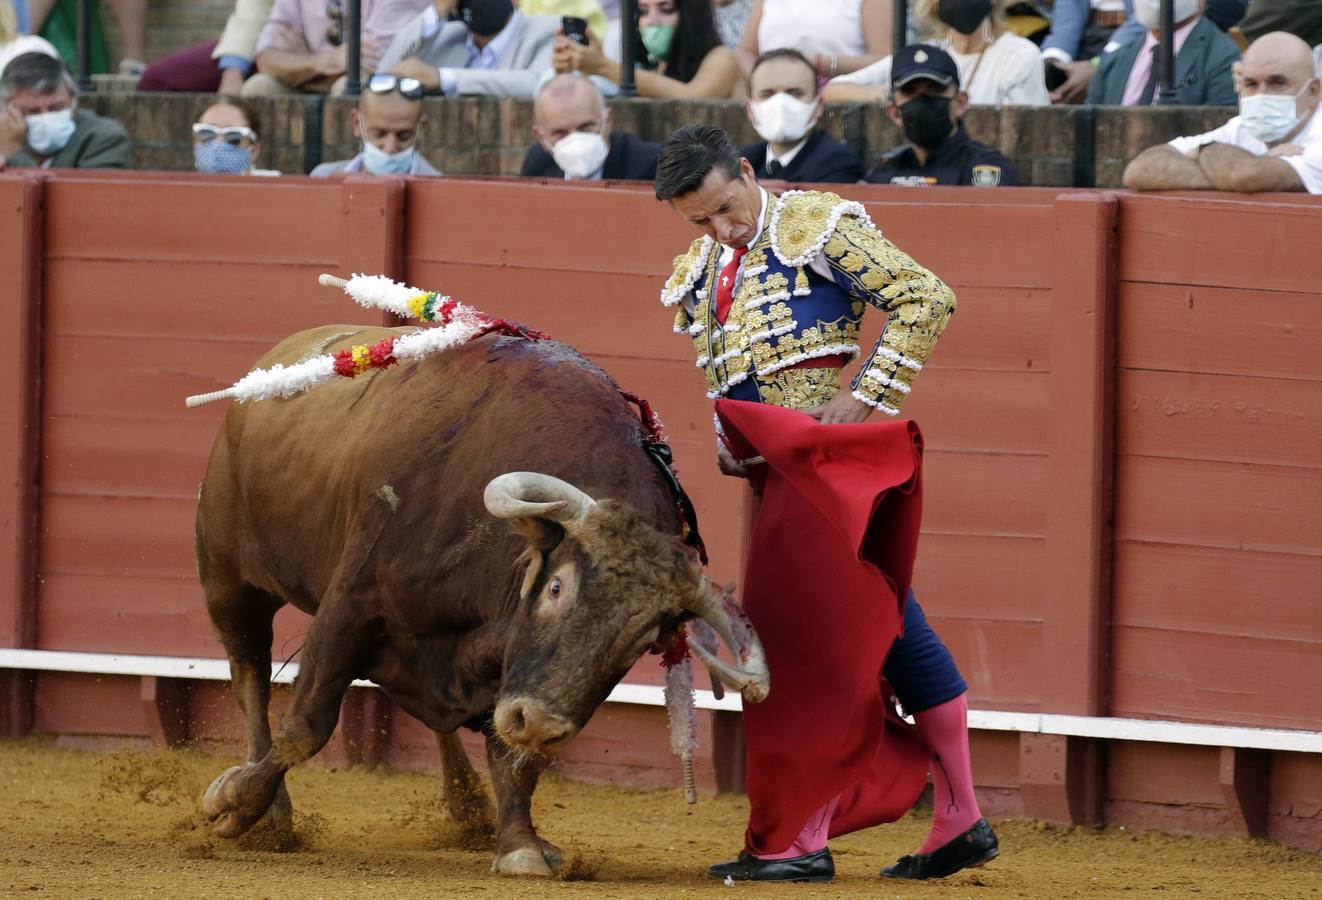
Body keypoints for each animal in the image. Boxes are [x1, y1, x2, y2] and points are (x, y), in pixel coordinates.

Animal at [190, 321, 766, 872]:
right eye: (556, 587)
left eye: (644, 639)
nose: (541, 723)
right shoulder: (350, 606)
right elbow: (307, 723)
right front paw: (235, 802)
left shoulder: (500, 667)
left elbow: (516, 757)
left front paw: (519, 844)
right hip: (229, 580)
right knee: (250, 676)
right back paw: (272, 813)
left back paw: (468, 807)